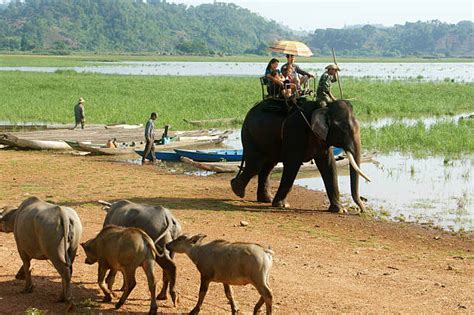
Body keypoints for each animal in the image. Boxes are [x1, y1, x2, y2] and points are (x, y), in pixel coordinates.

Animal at [230, 99, 370, 212]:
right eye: (342, 130)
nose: (362, 210)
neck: (323, 107)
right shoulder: (295, 131)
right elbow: (293, 163)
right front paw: (282, 205)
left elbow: (329, 165)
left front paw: (339, 210)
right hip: (250, 134)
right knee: (255, 165)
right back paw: (237, 190)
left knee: (267, 167)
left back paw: (265, 199)